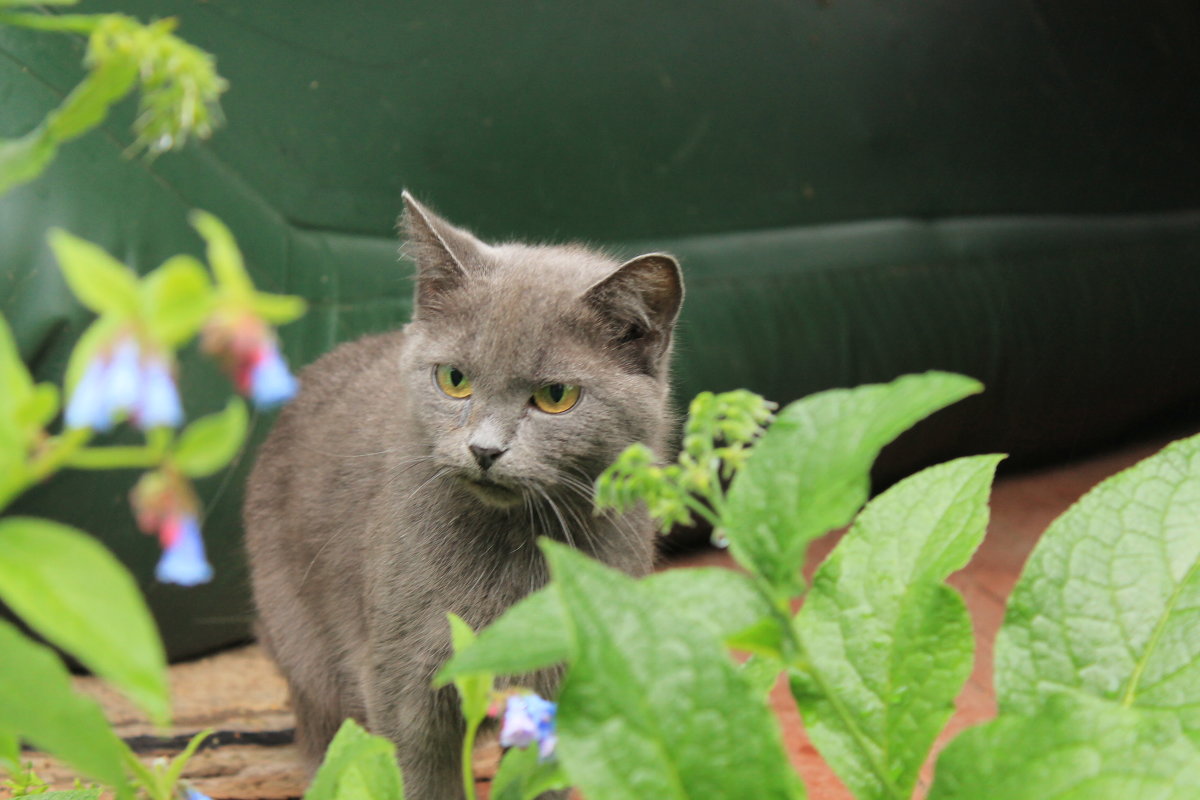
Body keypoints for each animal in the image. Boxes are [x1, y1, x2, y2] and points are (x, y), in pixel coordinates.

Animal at [243, 195, 686, 800]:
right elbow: (418, 778)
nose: (484, 450)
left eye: (556, 396)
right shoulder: (402, 682)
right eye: (454, 379)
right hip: (305, 650)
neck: (515, 547)